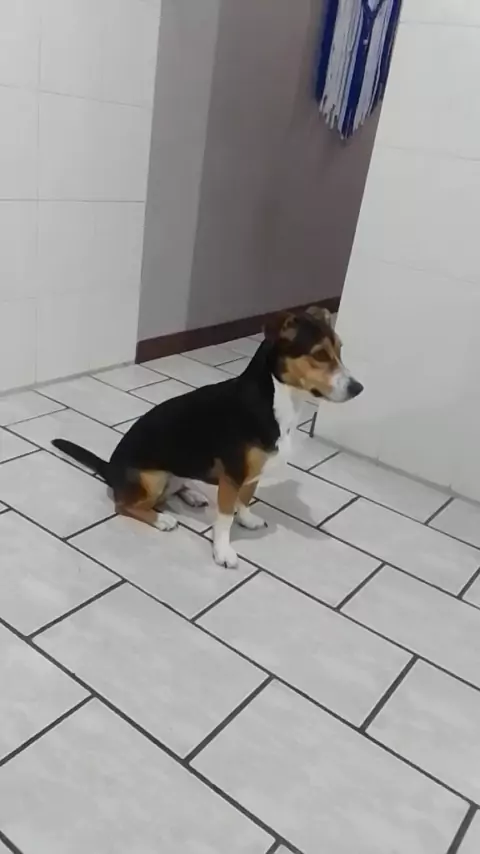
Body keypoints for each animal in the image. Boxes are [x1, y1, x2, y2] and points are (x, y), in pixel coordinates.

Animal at [53, 306, 362, 568]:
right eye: (320, 355)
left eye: (340, 350)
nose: (358, 388)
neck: (277, 398)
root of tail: (108, 468)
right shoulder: (234, 475)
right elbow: (224, 519)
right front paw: (223, 551)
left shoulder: (251, 473)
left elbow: (245, 499)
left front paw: (247, 519)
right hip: (152, 478)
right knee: (126, 504)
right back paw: (161, 519)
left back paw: (192, 494)